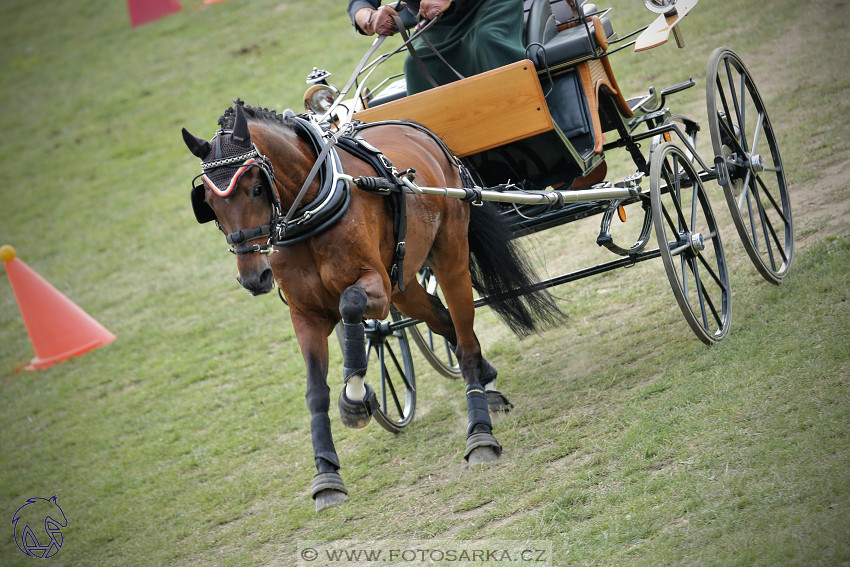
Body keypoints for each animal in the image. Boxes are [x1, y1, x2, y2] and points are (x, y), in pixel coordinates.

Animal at [182, 103, 560, 516]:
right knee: (445, 322)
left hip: (449, 258)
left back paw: (479, 433)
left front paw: (355, 398)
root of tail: (418, 130)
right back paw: (487, 383)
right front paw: (326, 475)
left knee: (464, 335)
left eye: (255, 188)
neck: (313, 207)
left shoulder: (373, 287)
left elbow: (350, 307)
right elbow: (316, 392)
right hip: (404, 285)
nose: (254, 278)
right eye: (210, 204)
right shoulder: (306, 314)